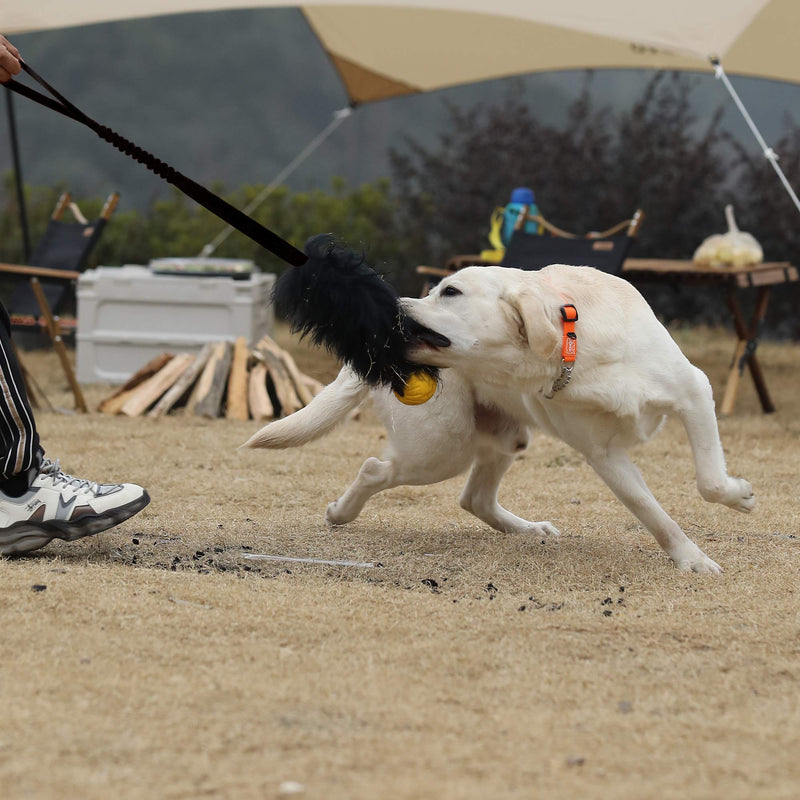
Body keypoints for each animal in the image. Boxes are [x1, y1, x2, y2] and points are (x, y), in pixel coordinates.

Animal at [247, 266, 752, 572]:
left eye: (450, 292)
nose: (390, 308)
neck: (575, 347)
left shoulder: (693, 392)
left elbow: (709, 481)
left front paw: (732, 502)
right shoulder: (604, 455)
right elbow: (657, 513)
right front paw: (693, 558)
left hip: (506, 438)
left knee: (474, 499)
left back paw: (528, 530)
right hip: (440, 452)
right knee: (376, 469)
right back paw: (340, 512)